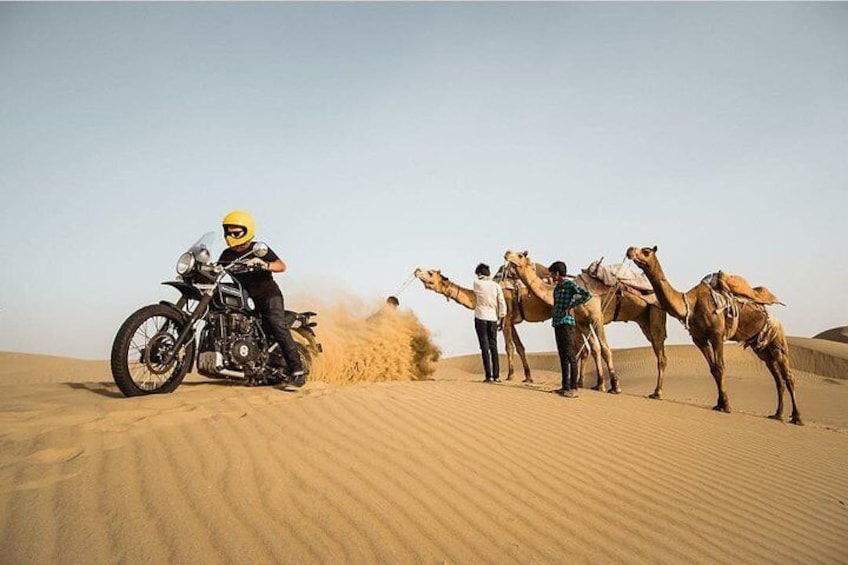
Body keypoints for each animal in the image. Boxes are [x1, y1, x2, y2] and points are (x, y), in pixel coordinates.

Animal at [414, 268, 552, 384]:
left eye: (430, 273)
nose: (417, 270)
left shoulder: (506, 318)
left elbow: (509, 347)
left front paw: (510, 376)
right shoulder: (510, 322)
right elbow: (520, 347)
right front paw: (528, 377)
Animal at [504, 249, 668, 398]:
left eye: (520, 255)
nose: (506, 253)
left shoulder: (597, 317)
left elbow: (605, 348)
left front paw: (615, 386)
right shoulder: (582, 322)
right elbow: (595, 348)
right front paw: (599, 384)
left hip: (656, 313)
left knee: (660, 353)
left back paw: (657, 392)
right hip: (643, 321)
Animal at [628, 245, 800, 426]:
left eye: (646, 251)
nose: (630, 250)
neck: (691, 304)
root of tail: (775, 318)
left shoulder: (717, 335)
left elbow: (720, 367)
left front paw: (727, 405)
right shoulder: (699, 339)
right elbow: (713, 369)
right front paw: (719, 404)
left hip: (778, 340)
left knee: (789, 376)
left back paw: (797, 417)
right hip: (762, 349)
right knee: (778, 378)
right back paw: (778, 415)